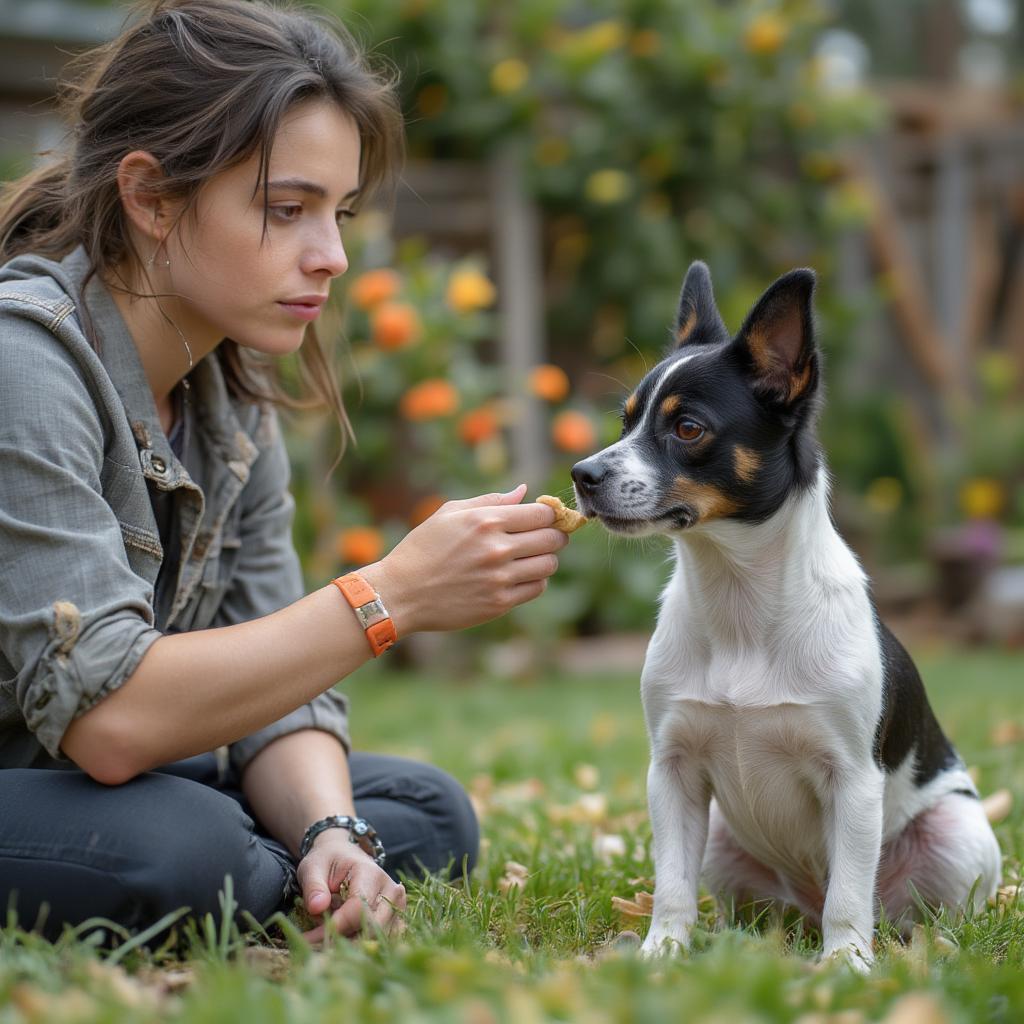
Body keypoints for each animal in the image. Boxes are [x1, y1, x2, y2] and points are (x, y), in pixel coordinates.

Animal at [573, 262, 1003, 966]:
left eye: (687, 428)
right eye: (625, 421)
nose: (582, 474)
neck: (739, 600)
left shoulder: (853, 781)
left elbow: (849, 895)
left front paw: (846, 965)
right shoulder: (673, 774)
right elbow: (671, 886)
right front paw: (662, 954)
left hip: (957, 830)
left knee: (892, 907)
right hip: (723, 842)